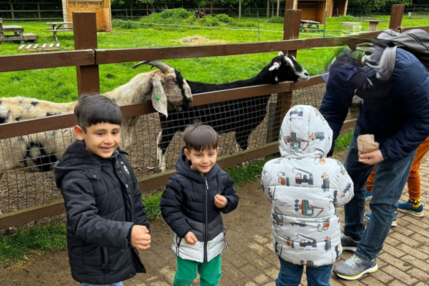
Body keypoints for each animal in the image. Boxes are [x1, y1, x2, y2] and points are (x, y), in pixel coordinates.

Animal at [152, 51, 310, 171]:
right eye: (287, 65)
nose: (306, 74)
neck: (255, 90)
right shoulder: (244, 127)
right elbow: (244, 147)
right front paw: (245, 165)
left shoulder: (240, 128)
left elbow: (239, 146)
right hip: (171, 125)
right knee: (162, 143)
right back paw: (163, 168)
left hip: (167, 123)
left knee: (158, 138)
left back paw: (159, 161)